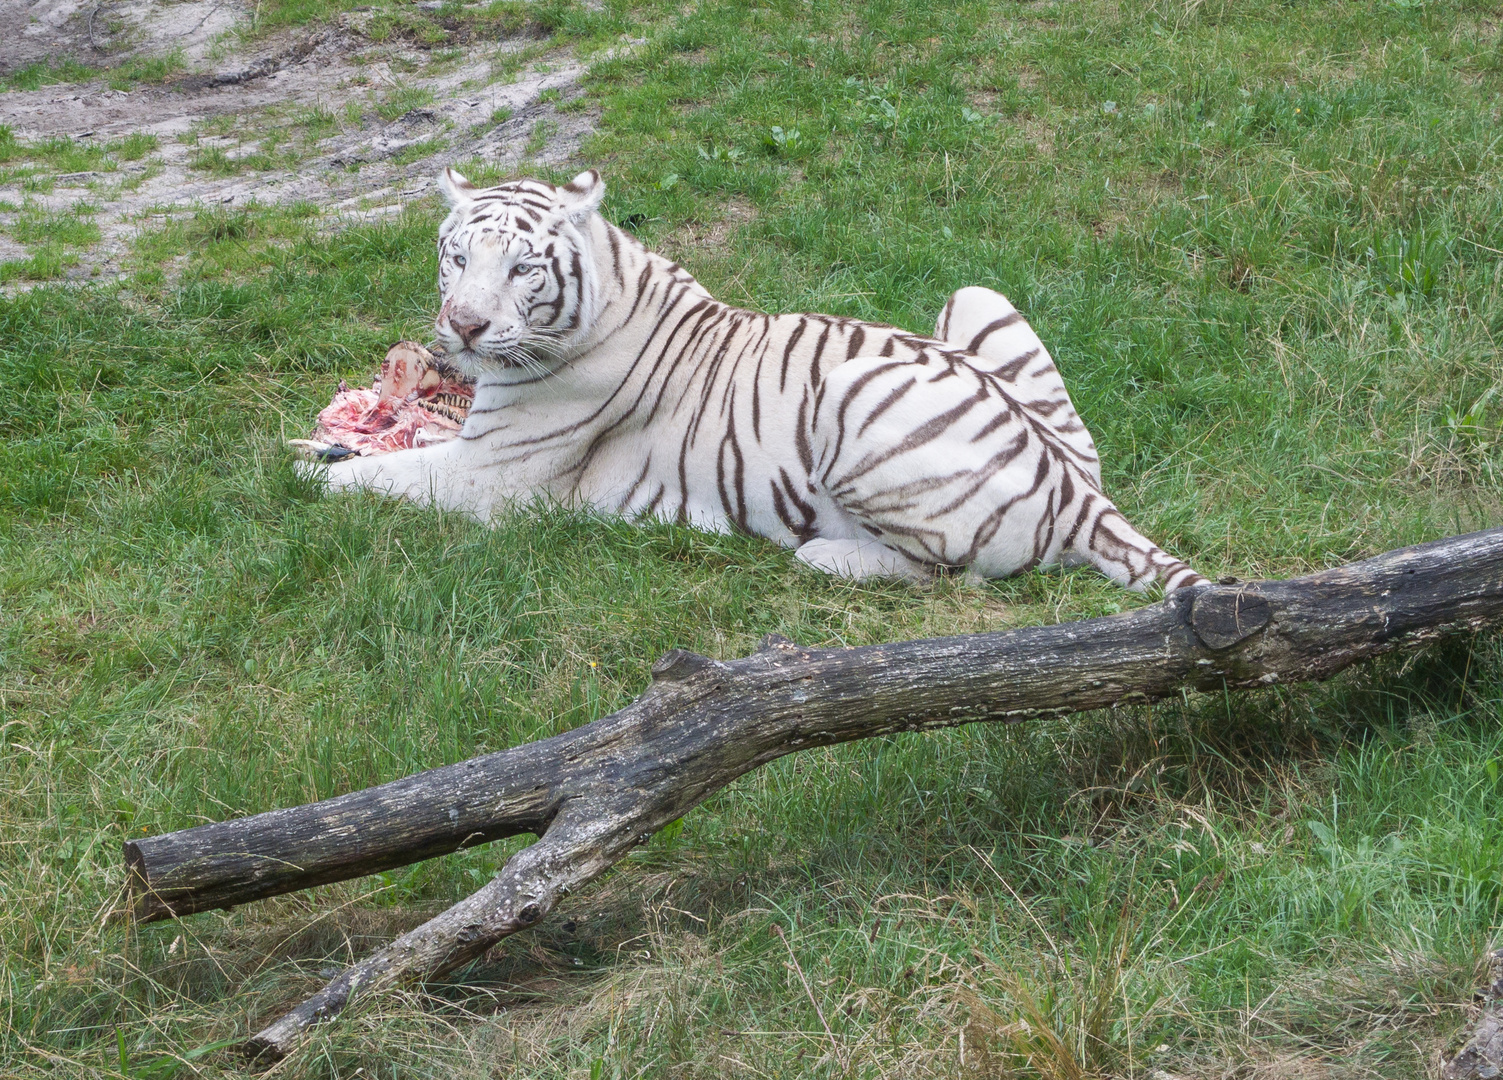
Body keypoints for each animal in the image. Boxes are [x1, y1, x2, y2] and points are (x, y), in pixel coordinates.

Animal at [308, 164, 1208, 594]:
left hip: (852, 394)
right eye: (457, 257)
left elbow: (370, 481)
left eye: (523, 268)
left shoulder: (487, 479)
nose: (462, 324)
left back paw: (827, 557)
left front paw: (313, 468)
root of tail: (1079, 494)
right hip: (976, 295)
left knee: (953, 573)